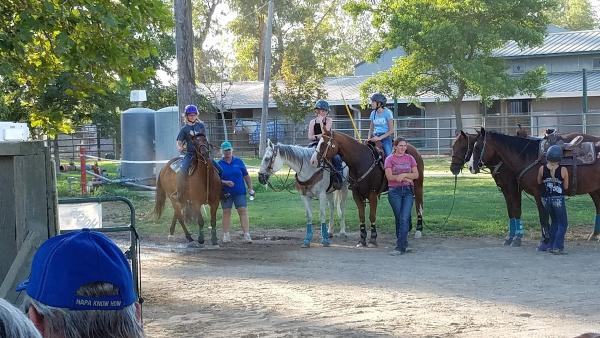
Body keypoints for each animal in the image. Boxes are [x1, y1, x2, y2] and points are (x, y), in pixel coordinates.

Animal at [472, 128, 600, 242]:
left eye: (477, 147)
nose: (471, 167)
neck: (528, 156)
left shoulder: (534, 193)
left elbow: (540, 216)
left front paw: (544, 239)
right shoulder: (509, 191)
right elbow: (514, 211)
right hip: (595, 189)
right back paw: (594, 235)